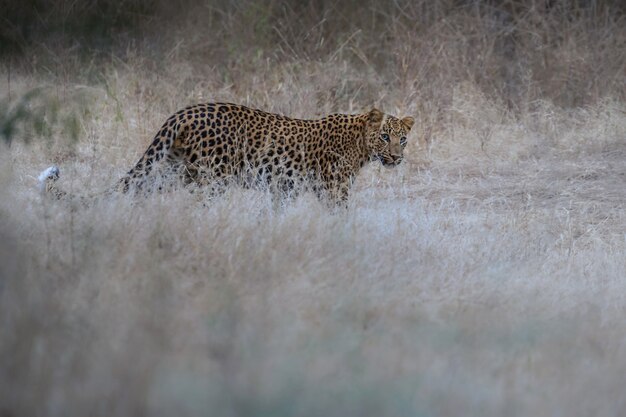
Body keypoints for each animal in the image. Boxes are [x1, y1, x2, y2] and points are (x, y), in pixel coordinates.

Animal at [37, 102, 410, 206]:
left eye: (403, 139)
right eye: (385, 137)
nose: (396, 157)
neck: (361, 144)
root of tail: (182, 113)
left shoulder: (284, 188)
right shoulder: (334, 189)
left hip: (175, 169)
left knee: (141, 188)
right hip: (213, 177)